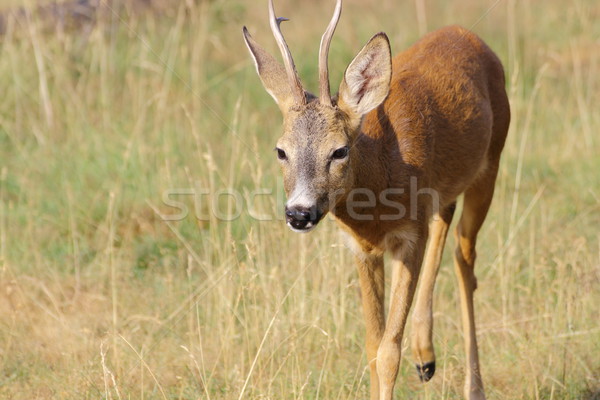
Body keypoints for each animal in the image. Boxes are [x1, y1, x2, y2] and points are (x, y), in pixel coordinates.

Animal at [241, 1, 508, 398]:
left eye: (339, 150)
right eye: (281, 150)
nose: (299, 213)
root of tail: (468, 34)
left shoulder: (409, 236)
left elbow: (388, 351)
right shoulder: (362, 248)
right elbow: (371, 344)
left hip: (491, 163)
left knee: (465, 259)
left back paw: (472, 386)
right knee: (446, 223)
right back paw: (425, 356)